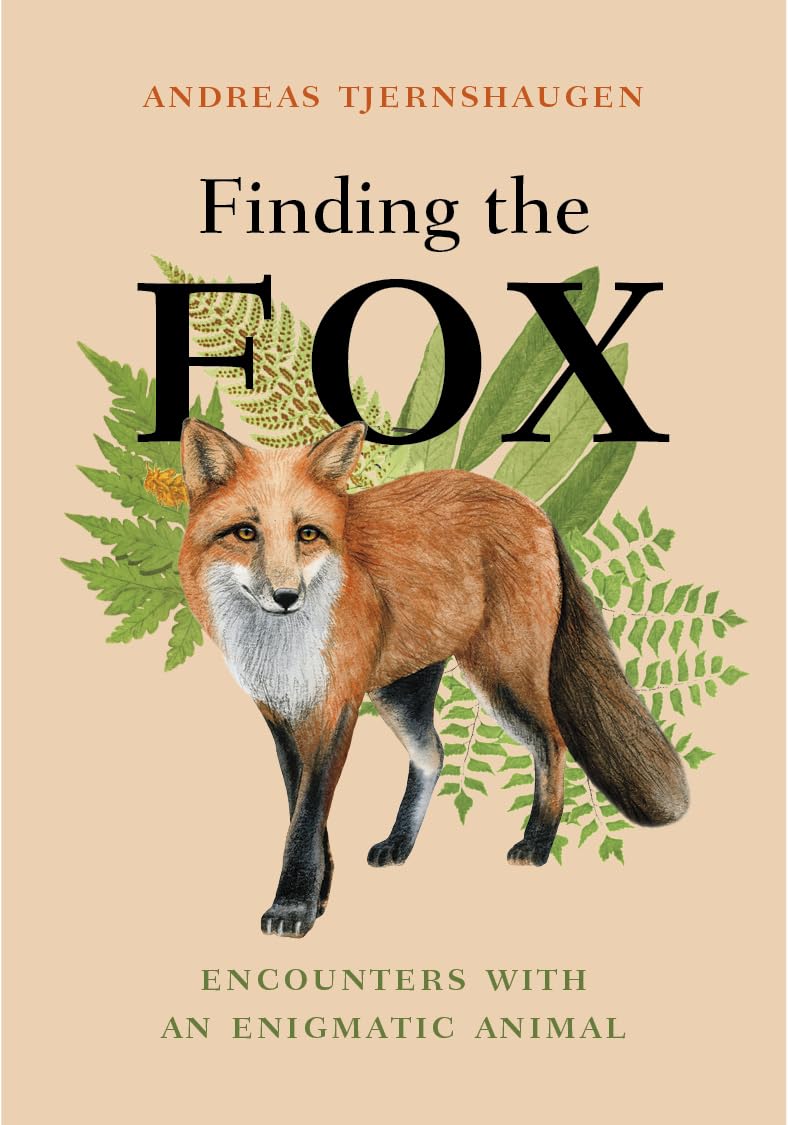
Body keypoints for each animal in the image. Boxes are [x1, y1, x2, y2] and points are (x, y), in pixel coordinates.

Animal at [179, 418, 689, 937]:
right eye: (245, 532)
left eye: (307, 534)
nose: (286, 596)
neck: (280, 646)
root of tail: (537, 511)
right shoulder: (283, 715)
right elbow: (303, 812)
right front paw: (318, 899)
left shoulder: (336, 705)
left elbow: (305, 818)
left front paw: (293, 907)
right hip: (399, 692)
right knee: (433, 754)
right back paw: (400, 843)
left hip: (502, 677)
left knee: (551, 742)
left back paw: (537, 845)